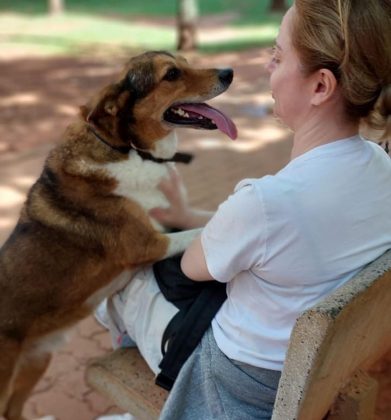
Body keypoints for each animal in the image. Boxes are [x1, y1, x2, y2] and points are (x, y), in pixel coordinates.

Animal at [0, 50, 237, 420]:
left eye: (184, 61)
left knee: (13, 410)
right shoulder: (152, 242)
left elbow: (214, 217)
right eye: (171, 74)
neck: (130, 149)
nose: (229, 72)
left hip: (37, 360)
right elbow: (203, 232)